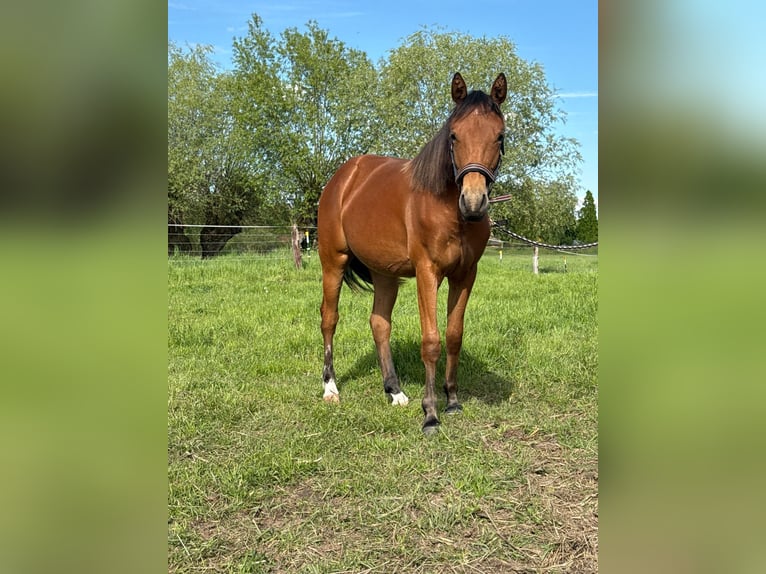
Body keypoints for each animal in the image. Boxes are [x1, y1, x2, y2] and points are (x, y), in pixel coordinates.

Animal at [317, 73, 507, 434]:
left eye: (500, 136)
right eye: (453, 135)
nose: (473, 202)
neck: (446, 207)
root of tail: (344, 176)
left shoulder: (466, 275)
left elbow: (454, 335)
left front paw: (452, 401)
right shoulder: (427, 272)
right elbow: (431, 341)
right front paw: (430, 414)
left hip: (384, 273)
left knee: (380, 323)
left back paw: (394, 391)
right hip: (332, 262)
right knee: (329, 318)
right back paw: (330, 388)